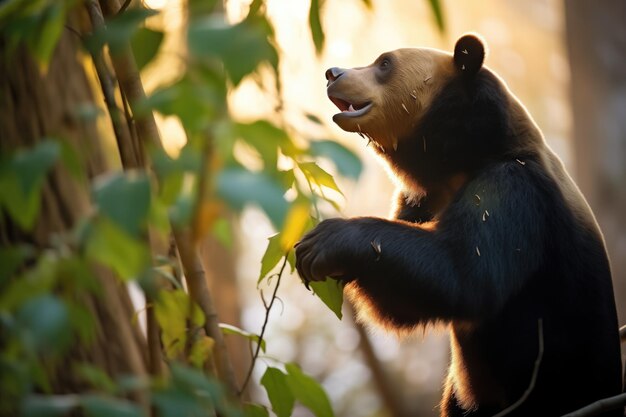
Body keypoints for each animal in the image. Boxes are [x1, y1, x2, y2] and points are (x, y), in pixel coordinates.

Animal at [294, 33, 620, 416]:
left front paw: (325, 242)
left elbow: (465, 271)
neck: (462, 159)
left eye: (384, 63)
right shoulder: (421, 199)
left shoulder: (515, 189)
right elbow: (403, 301)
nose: (333, 73)